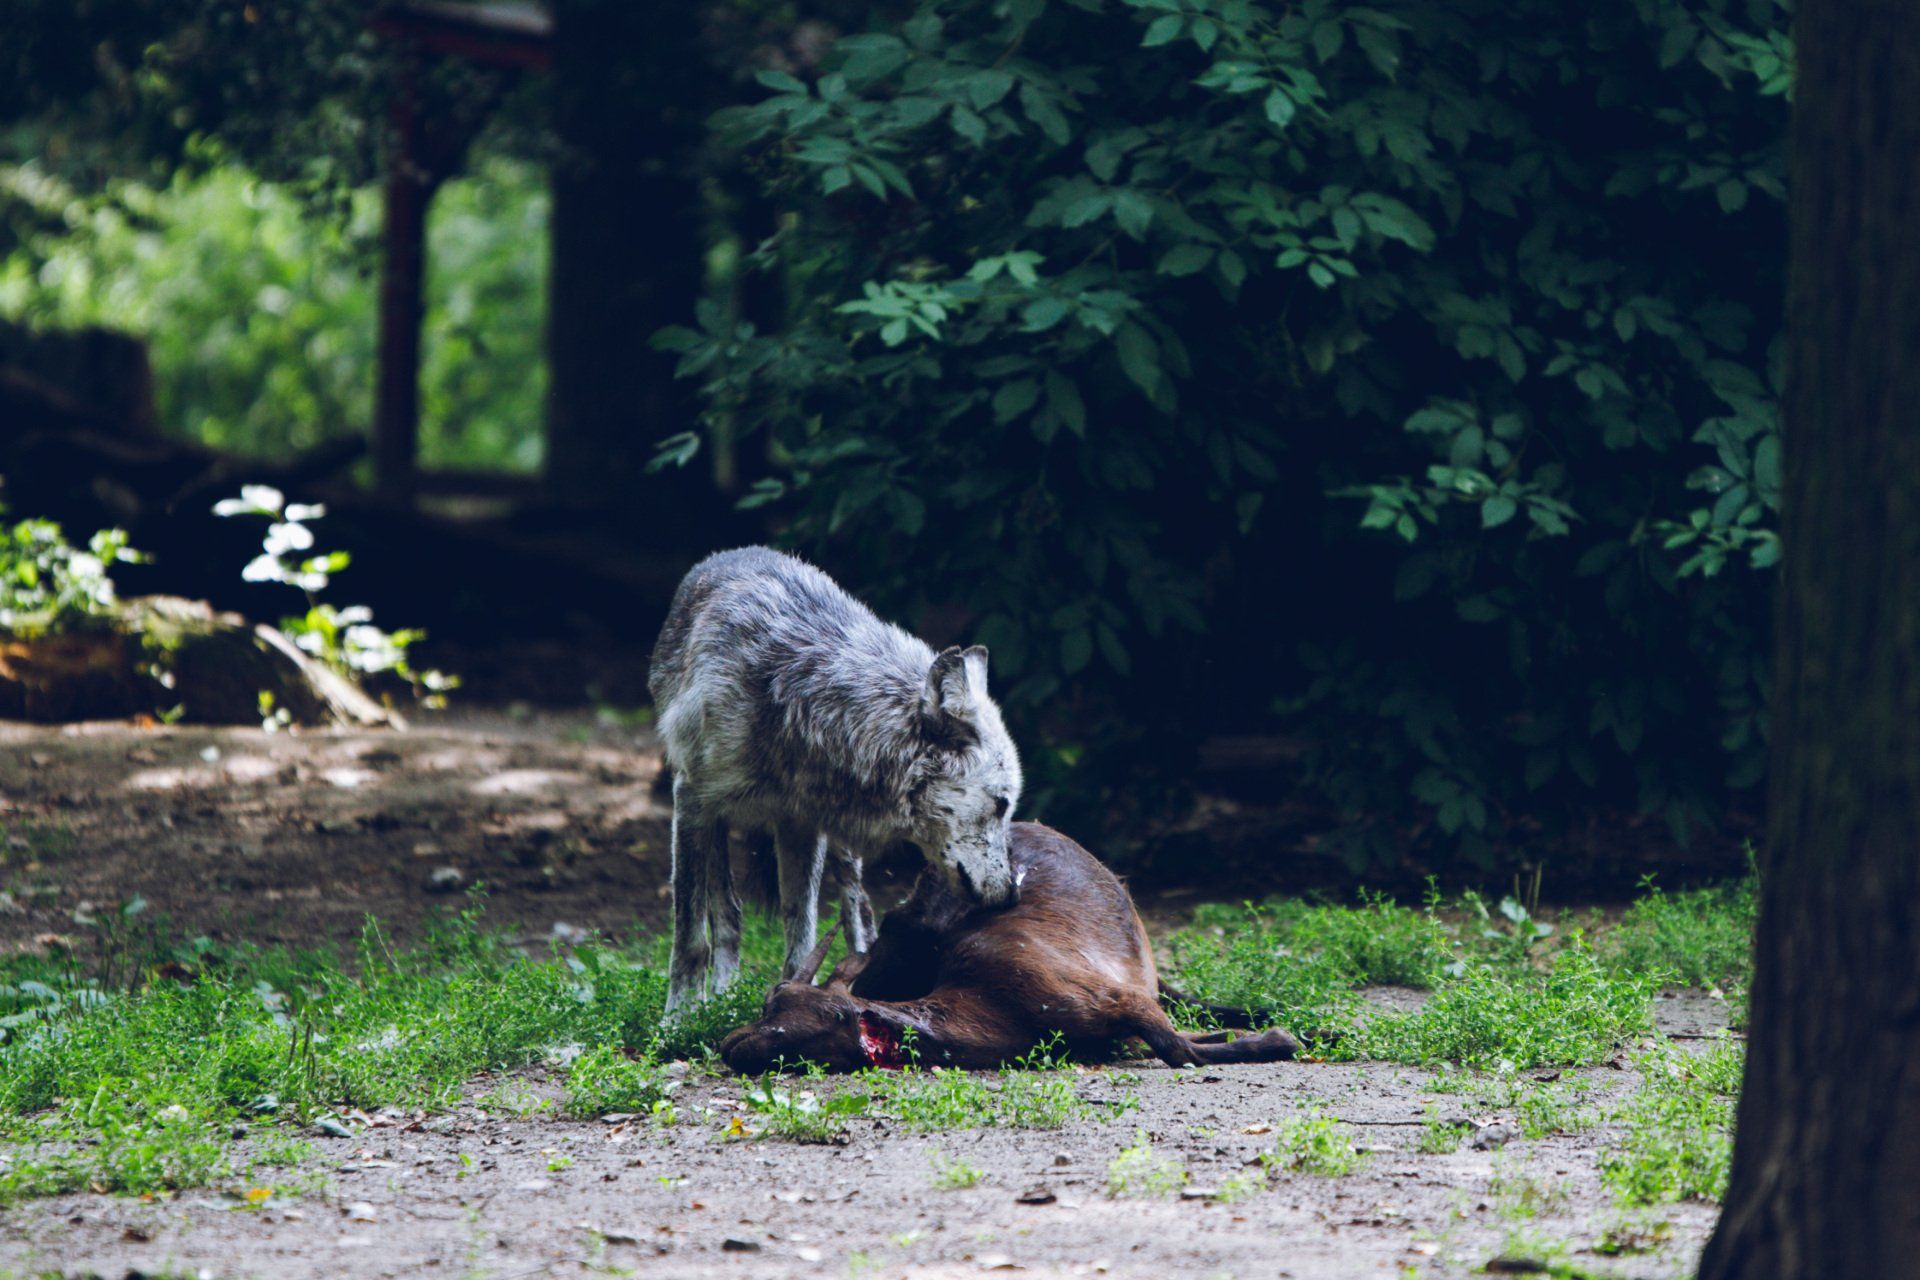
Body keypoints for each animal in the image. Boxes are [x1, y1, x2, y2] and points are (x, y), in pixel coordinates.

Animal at [648, 546, 1022, 1012]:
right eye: (1001, 805)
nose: (1012, 896)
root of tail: (736, 552)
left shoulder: (801, 825)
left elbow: (802, 934)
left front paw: (792, 997)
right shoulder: (693, 801)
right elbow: (690, 934)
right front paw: (679, 1015)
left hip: (840, 841)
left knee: (857, 907)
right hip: (714, 822)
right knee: (729, 911)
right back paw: (722, 993)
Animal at [719, 822, 1308, 1074]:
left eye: (776, 1011)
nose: (729, 1043)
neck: (998, 1009)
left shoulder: (1118, 1000)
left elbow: (1179, 1049)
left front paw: (1280, 1037)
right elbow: (1185, 1042)